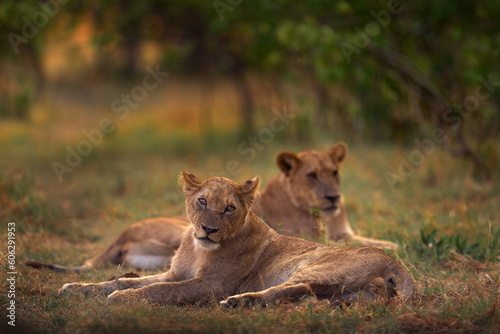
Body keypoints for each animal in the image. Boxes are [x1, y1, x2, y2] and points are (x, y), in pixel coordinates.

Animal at [58, 171, 414, 306]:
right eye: (202, 201)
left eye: (229, 208)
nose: (208, 229)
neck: (197, 249)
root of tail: (397, 266)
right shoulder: (175, 272)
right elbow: (126, 279)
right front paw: (76, 288)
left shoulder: (210, 285)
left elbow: (158, 291)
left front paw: (123, 299)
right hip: (345, 293)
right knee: (306, 294)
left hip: (319, 267)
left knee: (295, 287)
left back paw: (238, 302)